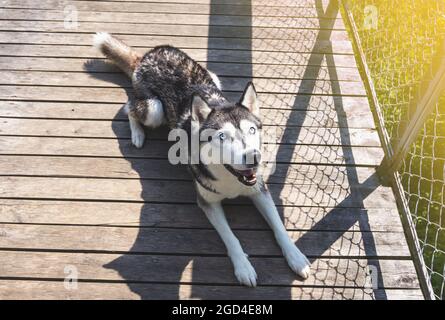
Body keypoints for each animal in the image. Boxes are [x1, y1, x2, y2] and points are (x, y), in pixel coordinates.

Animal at [93, 33, 308, 288]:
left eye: (252, 130)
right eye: (222, 137)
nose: (254, 158)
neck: (231, 181)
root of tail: (149, 54)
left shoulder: (259, 190)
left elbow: (279, 227)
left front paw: (296, 257)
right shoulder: (208, 203)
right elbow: (231, 237)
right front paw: (243, 267)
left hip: (213, 76)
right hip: (154, 109)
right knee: (128, 108)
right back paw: (137, 134)